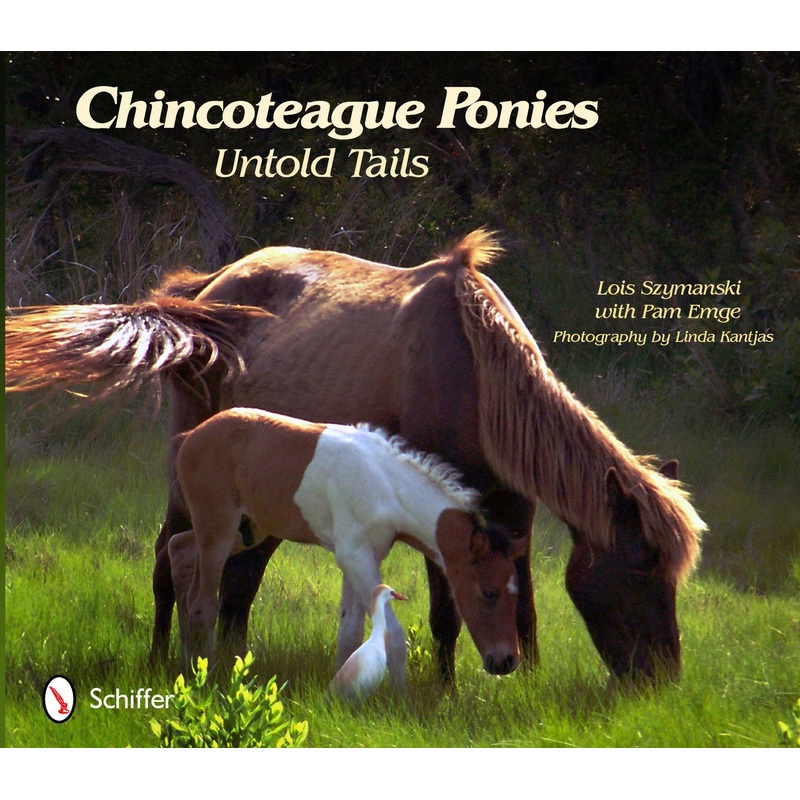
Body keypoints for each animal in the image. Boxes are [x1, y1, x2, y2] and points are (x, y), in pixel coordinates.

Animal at [167, 407, 525, 687]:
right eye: (489, 592)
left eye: (515, 592)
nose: (507, 661)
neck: (384, 484)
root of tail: (190, 436)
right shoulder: (356, 558)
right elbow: (393, 635)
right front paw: (402, 704)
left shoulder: (359, 559)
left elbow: (349, 632)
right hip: (219, 528)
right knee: (201, 605)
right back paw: (207, 676)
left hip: (246, 531)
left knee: (179, 550)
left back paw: (186, 665)